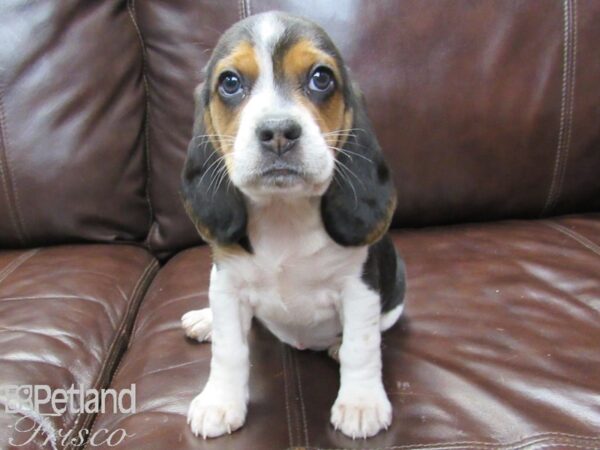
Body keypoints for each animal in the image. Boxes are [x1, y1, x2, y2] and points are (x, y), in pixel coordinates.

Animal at [178, 11, 404, 440]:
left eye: (321, 78)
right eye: (230, 82)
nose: (278, 131)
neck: (284, 212)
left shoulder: (360, 286)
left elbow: (361, 345)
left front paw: (361, 403)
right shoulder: (227, 283)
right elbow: (230, 349)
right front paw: (221, 402)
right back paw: (205, 319)